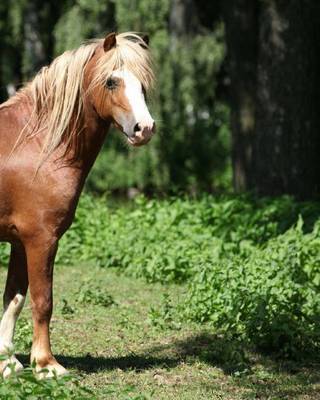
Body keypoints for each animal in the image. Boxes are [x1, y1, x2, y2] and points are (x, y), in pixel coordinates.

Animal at [0, 32, 156, 378]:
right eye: (111, 81)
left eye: (143, 83)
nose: (144, 129)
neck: (37, 144)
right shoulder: (41, 239)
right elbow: (43, 301)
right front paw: (47, 365)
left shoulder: (19, 242)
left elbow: (13, 299)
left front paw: (8, 363)